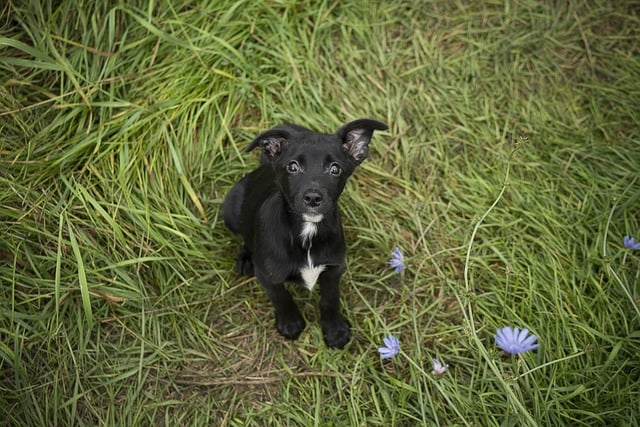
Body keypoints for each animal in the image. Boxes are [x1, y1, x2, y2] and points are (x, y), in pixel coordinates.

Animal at [222, 119, 388, 348]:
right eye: (293, 166)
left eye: (335, 169)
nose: (313, 198)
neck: (308, 231)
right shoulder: (266, 275)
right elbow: (281, 297)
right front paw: (290, 323)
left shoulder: (334, 269)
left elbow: (330, 299)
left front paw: (334, 330)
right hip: (230, 210)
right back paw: (246, 258)